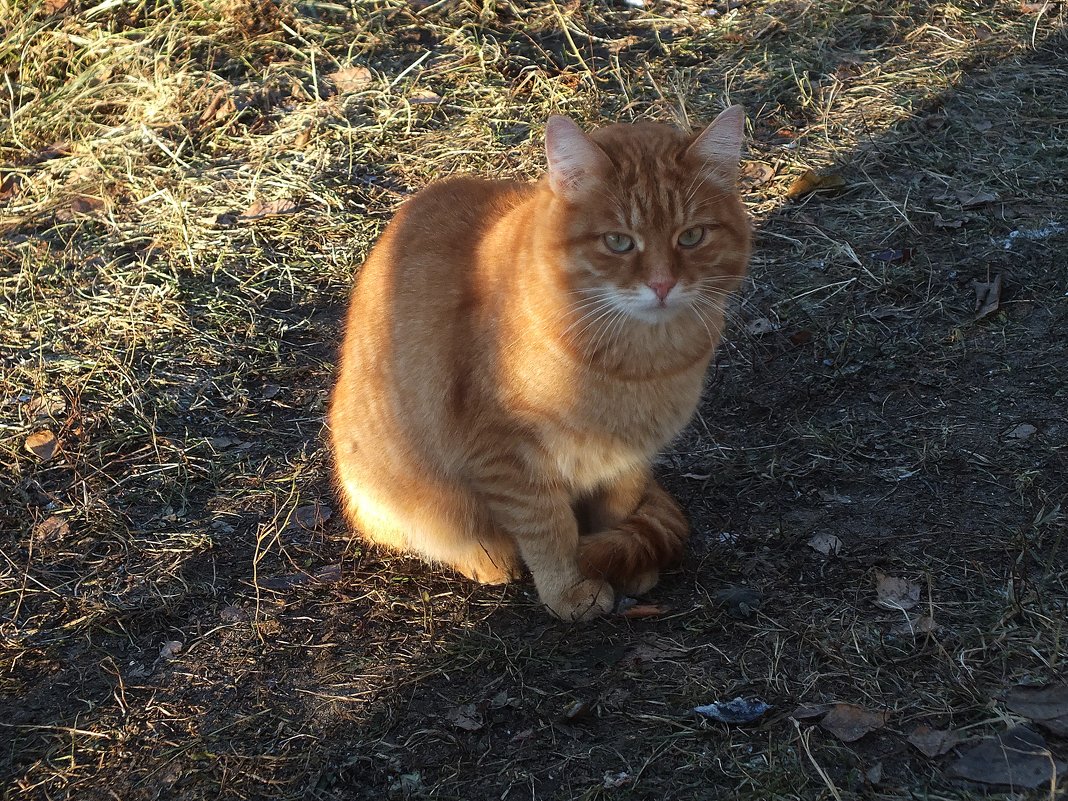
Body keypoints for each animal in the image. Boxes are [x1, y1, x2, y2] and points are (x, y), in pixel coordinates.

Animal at [328, 106, 756, 619]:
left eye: (691, 236)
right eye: (618, 242)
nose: (662, 284)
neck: (638, 364)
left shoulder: (630, 459)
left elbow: (617, 511)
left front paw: (624, 563)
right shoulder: (508, 457)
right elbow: (549, 531)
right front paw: (569, 589)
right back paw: (486, 558)